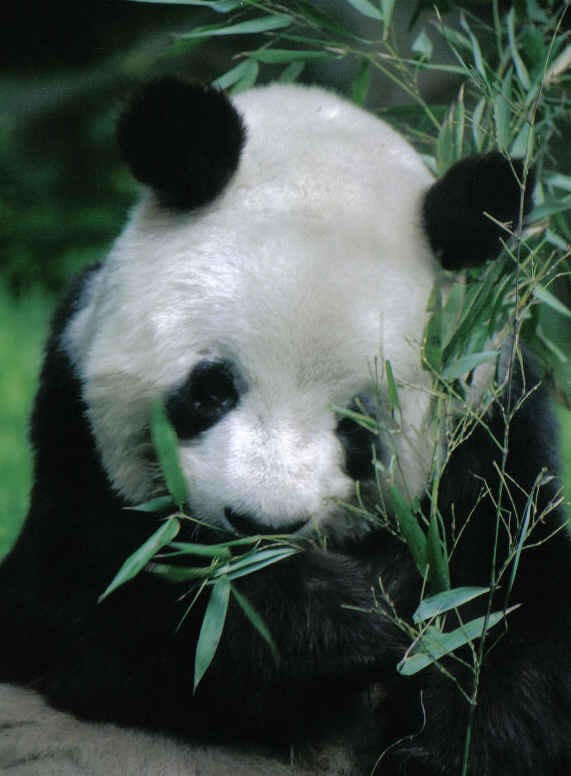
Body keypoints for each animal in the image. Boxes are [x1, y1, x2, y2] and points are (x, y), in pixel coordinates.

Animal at [1, 79, 571, 776]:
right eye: (211, 391)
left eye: (358, 425)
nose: (259, 527)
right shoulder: (72, 423)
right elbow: (96, 607)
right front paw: (339, 613)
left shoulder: (495, 429)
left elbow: (512, 617)